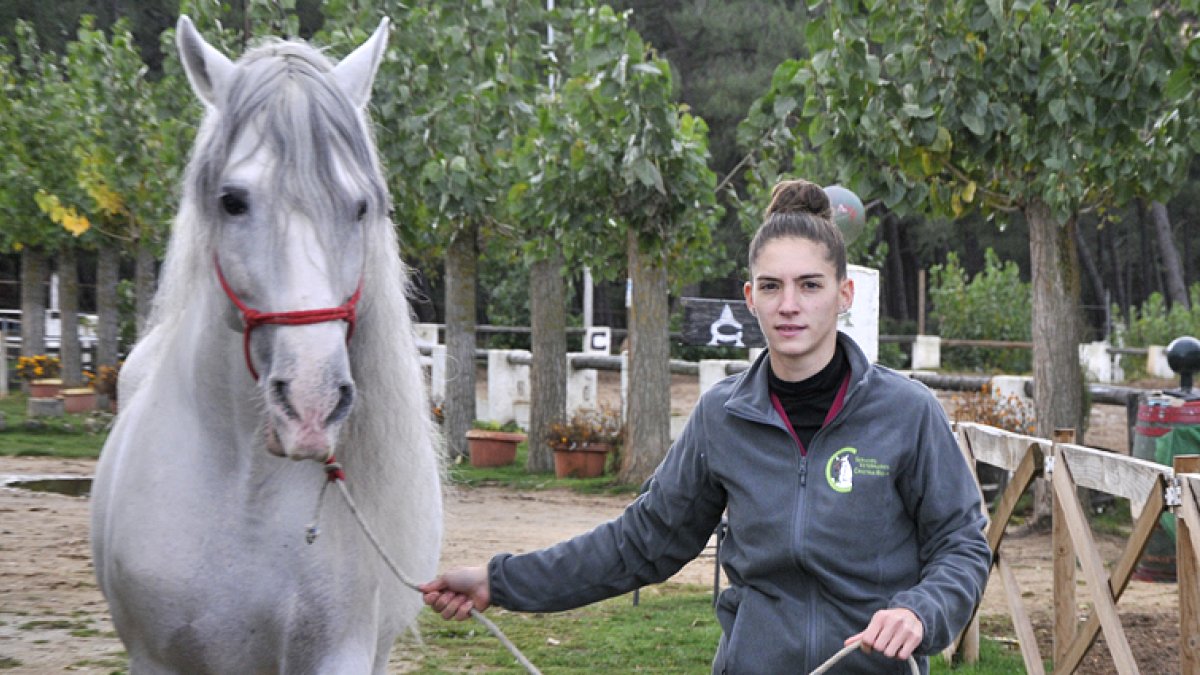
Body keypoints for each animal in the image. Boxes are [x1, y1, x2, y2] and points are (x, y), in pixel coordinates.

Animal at [90, 16, 443, 673]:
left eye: (361, 205)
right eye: (232, 200)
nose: (312, 404)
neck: (246, 493)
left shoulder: (339, 654)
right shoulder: (154, 657)